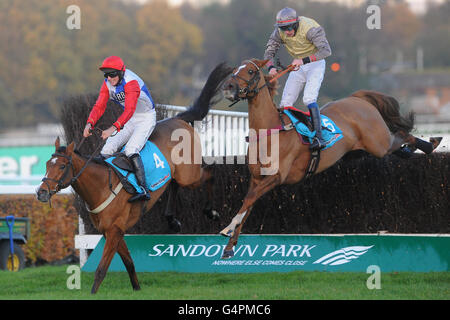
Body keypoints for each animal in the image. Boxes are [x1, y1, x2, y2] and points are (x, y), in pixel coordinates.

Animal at [35, 62, 232, 292]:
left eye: (62, 166)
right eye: (47, 165)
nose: (41, 192)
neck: (101, 187)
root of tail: (178, 118)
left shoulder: (113, 231)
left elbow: (101, 269)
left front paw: (93, 292)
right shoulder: (113, 232)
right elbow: (129, 262)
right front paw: (137, 289)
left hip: (189, 174)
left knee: (209, 174)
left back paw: (211, 212)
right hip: (178, 172)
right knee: (174, 183)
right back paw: (172, 220)